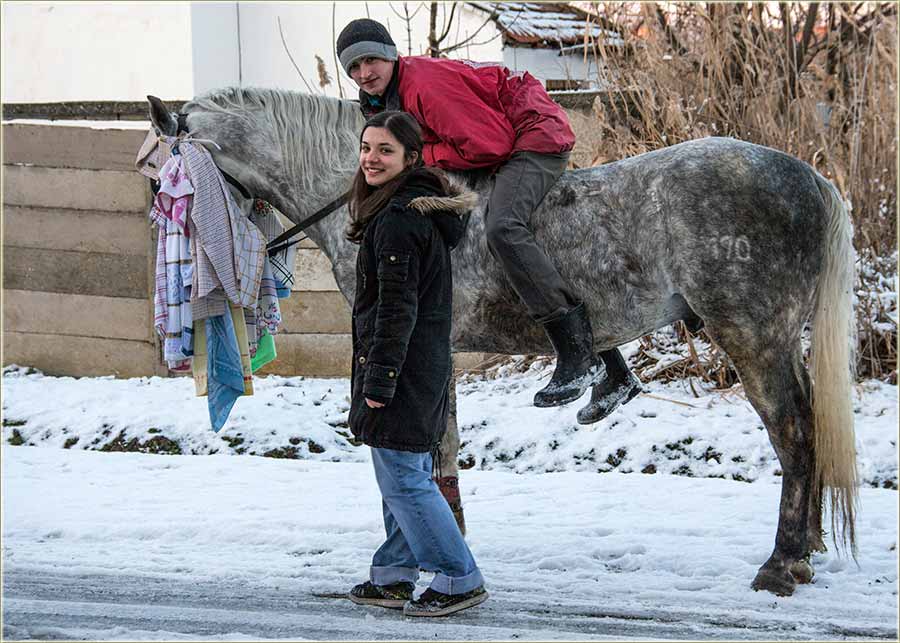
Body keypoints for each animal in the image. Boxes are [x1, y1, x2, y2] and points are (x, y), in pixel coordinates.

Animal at [145, 87, 858, 597]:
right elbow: (442, 455)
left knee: (794, 431)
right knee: (811, 425)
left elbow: (428, 453)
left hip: (753, 335)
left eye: (156, 178)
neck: (397, 196)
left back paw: (782, 563)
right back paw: (806, 546)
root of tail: (813, 179)